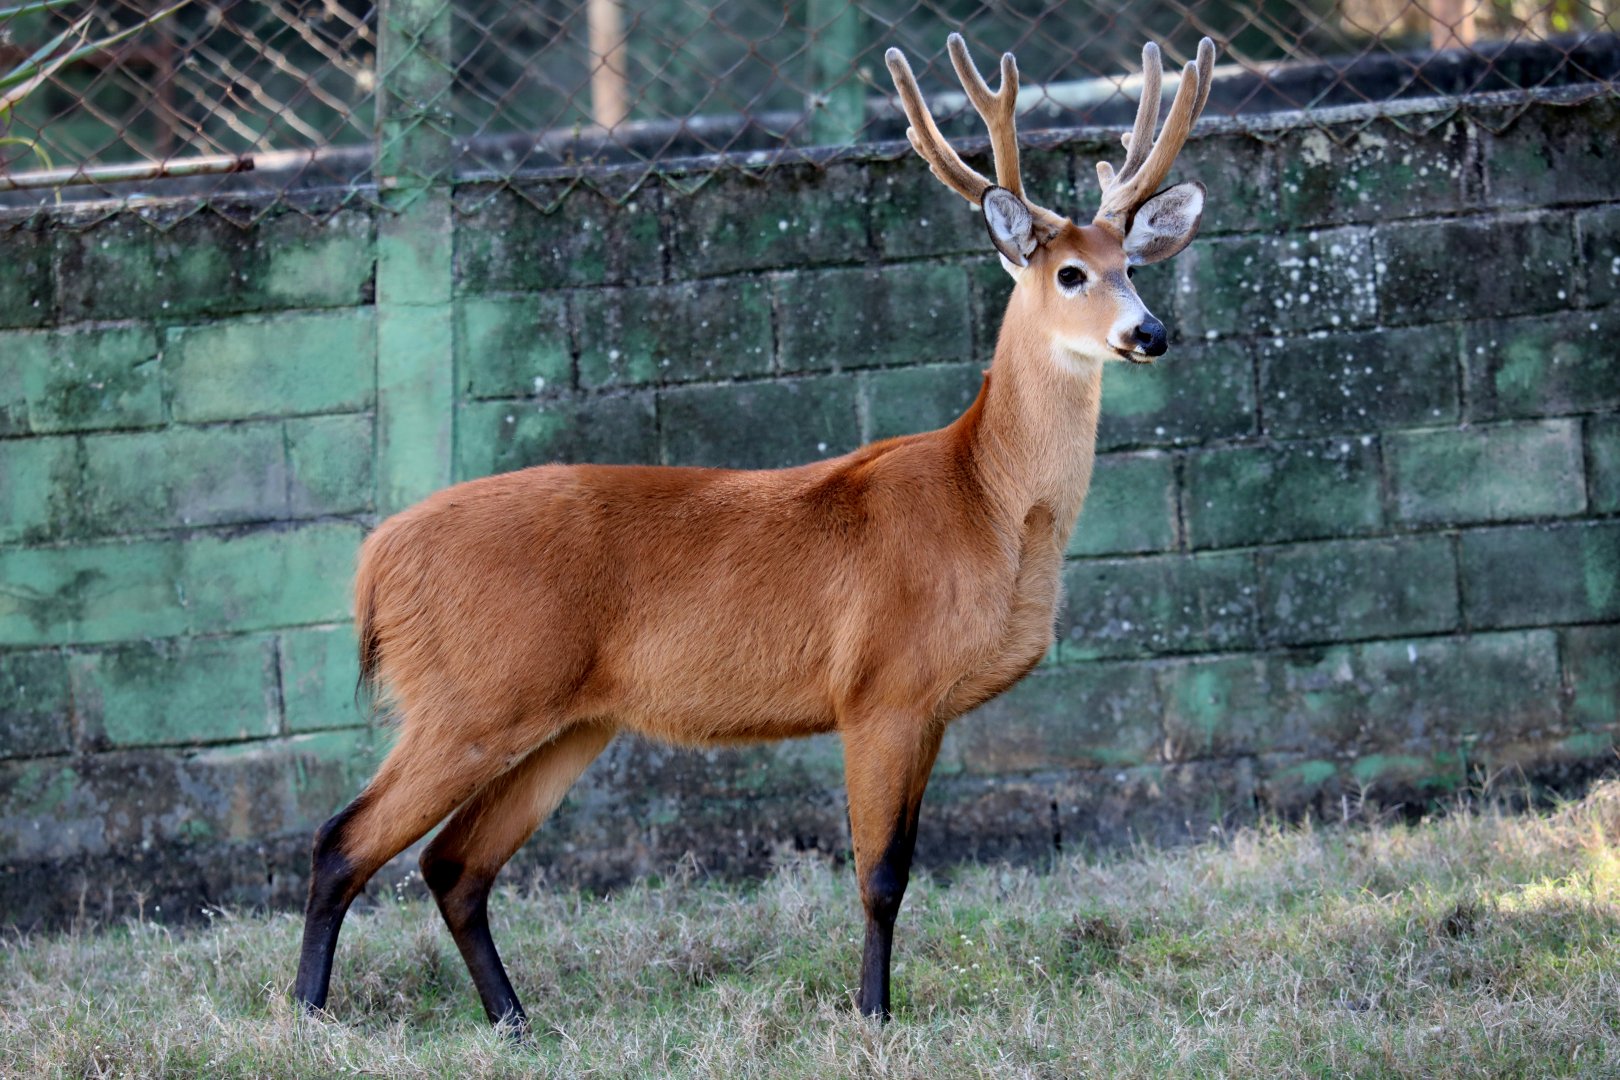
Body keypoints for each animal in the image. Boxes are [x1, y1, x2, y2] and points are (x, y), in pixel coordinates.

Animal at [292, 32, 1218, 1030]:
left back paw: (515, 1021)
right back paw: (308, 1014)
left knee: (453, 863)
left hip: (565, 719)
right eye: (1070, 273)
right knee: (344, 838)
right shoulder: (880, 687)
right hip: (471, 693)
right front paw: (872, 1015)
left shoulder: (929, 707)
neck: (984, 505)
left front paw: (874, 1007)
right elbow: (881, 874)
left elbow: (901, 865)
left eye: (1134, 266)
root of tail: (376, 559)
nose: (1151, 332)